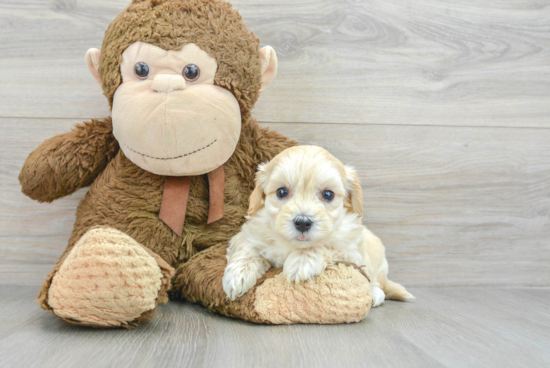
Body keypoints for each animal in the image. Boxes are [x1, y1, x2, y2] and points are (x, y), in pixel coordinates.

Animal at [223, 145, 414, 306]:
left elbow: (325, 246)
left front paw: (301, 261)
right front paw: (237, 275)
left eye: (328, 194)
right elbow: (247, 249)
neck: (294, 245)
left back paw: (375, 293)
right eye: (281, 192)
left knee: (375, 281)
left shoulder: (350, 250)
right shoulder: (248, 234)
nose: (303, 222)